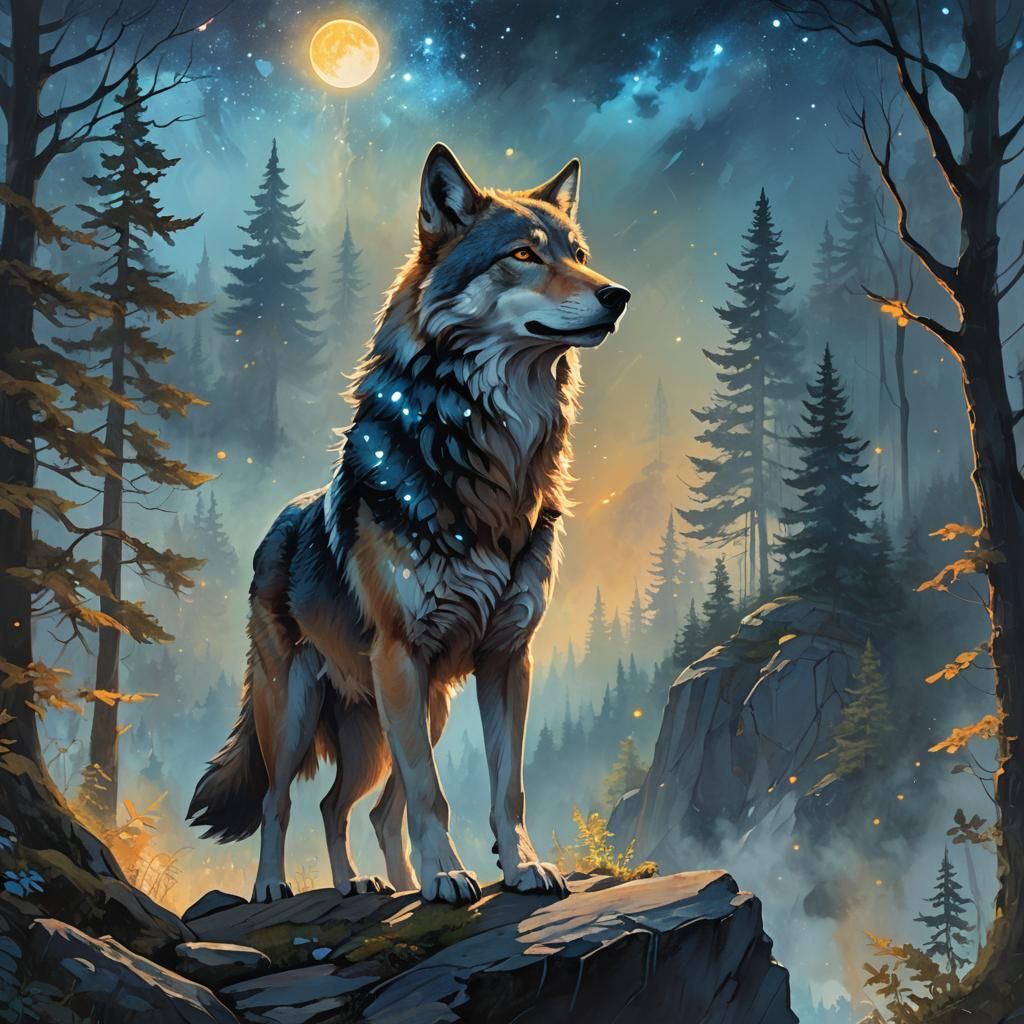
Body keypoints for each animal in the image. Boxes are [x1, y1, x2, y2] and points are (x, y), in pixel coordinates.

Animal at [187, 143, 630, 906]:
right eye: (522, 254)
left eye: (578, 254)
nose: (617, 294)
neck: (490, 460)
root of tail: (277, 521)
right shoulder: (401, 655)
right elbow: (431, 792)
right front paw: (449, 875)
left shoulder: (507, 657)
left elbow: (505, 789)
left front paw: (518, 867)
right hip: (301, 709)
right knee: (282, 800)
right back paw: (275, 888)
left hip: (412, 715)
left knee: (350, 807)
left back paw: (372, 886)